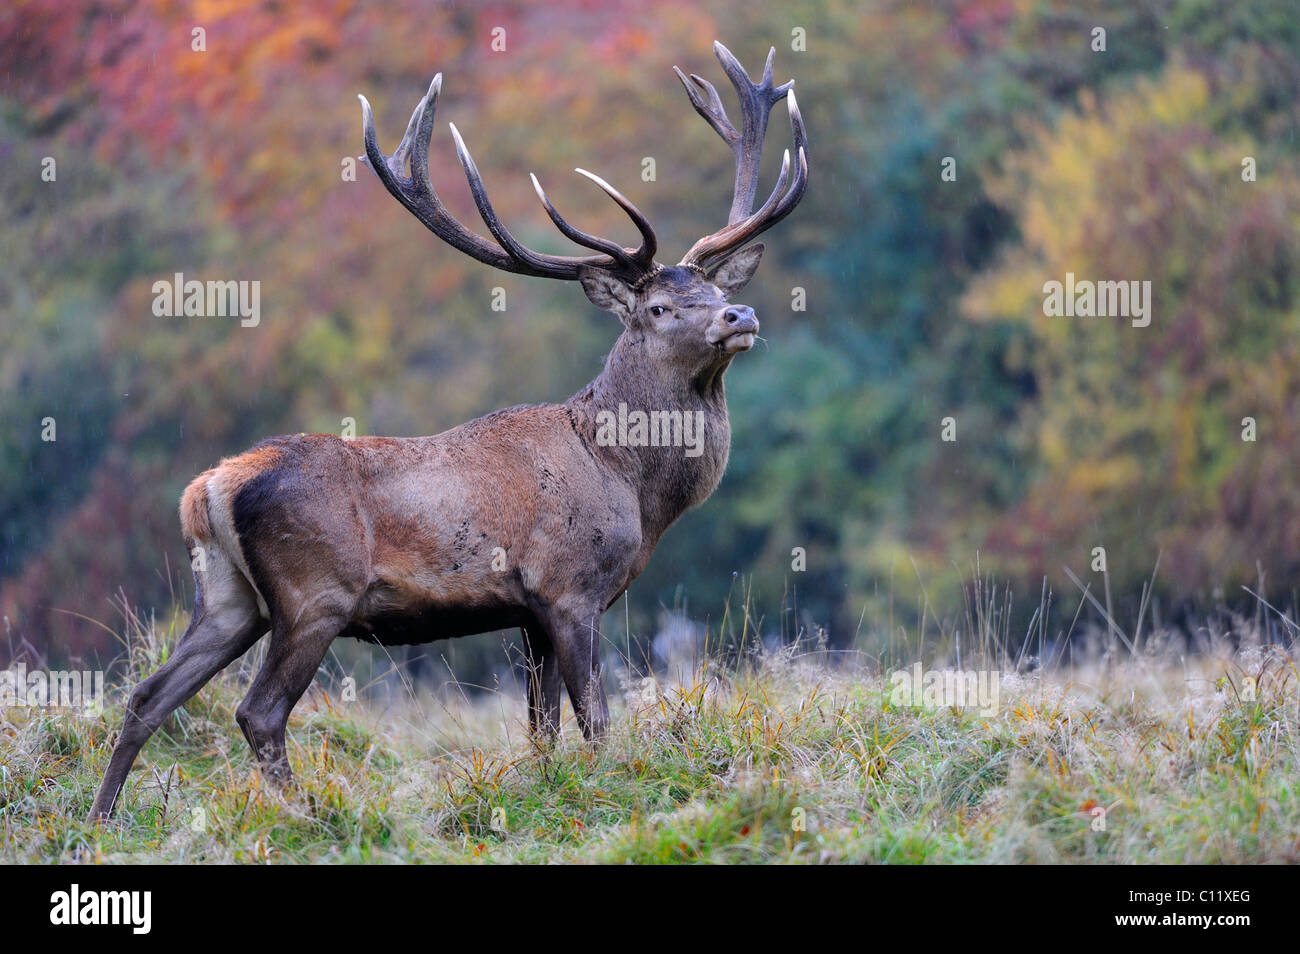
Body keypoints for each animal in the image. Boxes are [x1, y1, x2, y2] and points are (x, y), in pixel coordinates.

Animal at [89, 41, 800, 821]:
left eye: (720, 289)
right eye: (661, 308)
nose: (740, 316)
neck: (632, 487)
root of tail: (208, 489)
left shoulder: (528, 610)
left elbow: (543, 730)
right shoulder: (569, 588)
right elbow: (597, 720)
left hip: (226, 595)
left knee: (148, 695)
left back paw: (100, 819)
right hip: (314, 594)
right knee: (258, 710)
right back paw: (306, 814)